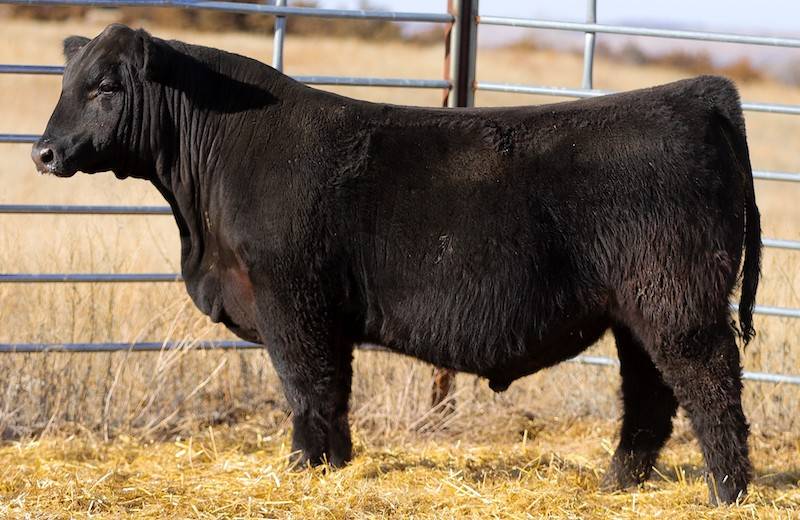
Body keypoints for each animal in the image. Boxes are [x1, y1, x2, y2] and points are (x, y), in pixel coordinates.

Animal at [32, 24, 761, 505]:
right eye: (65, 82)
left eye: (104, 87)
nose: (43, 153)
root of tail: (697, 94)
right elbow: (332, 389)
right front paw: (336, 463)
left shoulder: (290, 298)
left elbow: (307, 385)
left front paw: (306, 467)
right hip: (637, 313)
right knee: (650, 397)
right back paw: (616, 484)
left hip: (678, 305)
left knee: (710, 387)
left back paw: (726, 491)